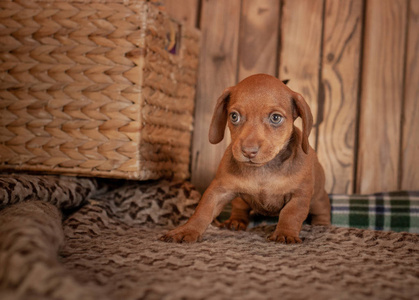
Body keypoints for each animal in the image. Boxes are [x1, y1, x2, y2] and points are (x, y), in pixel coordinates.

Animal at [161, 73, 332, 244]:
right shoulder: (218, 190)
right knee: (239, 208)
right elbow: (203, 211)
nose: (248, 152)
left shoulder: (299, 196)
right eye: (234, 116)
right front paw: (187, 230)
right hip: (239, 199)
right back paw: (235, 221)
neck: (263, 169)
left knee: (322, 210)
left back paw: (321, 225)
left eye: (276, 118)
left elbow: (291, 214)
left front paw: (285, 233)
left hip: (318, 199)